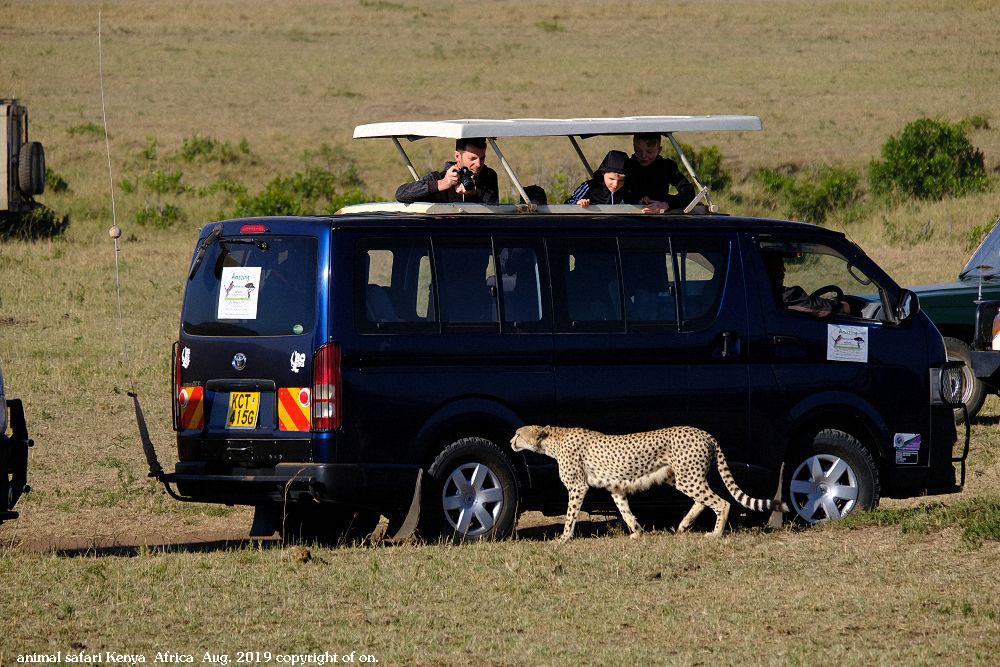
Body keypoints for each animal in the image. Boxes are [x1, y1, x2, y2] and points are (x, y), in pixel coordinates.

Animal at [512, 428, 784, 544]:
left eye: (518, 433)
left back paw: (715, 534)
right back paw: (684, 525)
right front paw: (636, 532)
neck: (553, 439)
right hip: (681, 476)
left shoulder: (578, 487)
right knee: (703, 499)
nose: (510, 441)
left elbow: (570, 516)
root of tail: (704, 433)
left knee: (722, 502)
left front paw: (563, 539)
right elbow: (625, 510)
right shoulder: (616, 487)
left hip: (688, 477)